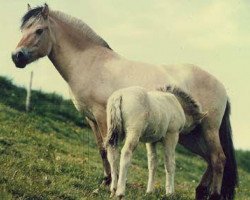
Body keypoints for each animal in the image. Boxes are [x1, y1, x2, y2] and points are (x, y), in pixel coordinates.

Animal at [11, 3, 237, 199]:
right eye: (23, 30)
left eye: (39, 30)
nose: (16, 56)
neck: (91, 63)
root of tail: (222, 87)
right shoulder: (91, 119)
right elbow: (102, 149)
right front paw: (105, 181)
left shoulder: (103, 116)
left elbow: (110, 148)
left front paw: (112, 183)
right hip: (191, 135)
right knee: (210, 159)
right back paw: (200, 192)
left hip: (208, 130)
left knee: (218, 159)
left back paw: (214, 194)